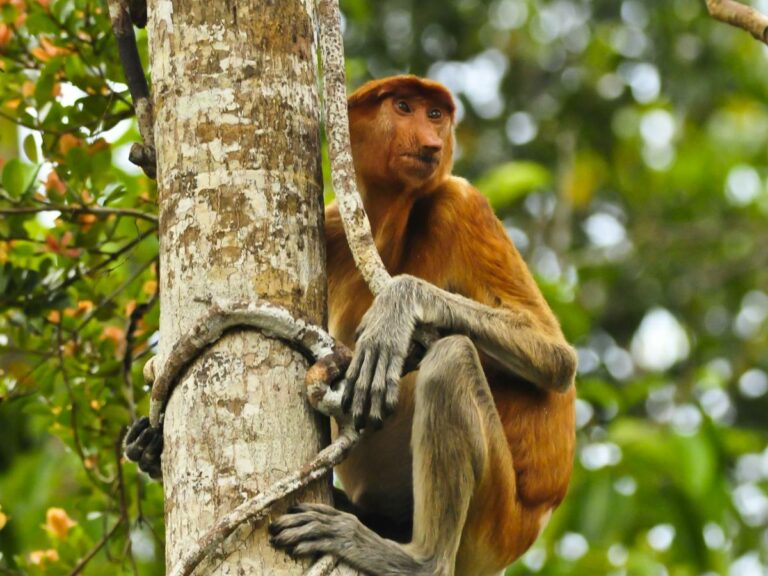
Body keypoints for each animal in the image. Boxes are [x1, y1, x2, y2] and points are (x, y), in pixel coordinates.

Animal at [269, 75, 577, 576]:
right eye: (404, 107)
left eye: (435, 115)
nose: (432, 143)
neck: (388, 221)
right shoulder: (333, 224)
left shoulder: (461, 203)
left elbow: (555, 357)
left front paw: (398, 305)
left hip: (493, 523)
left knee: (452, 357)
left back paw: (414, 557)